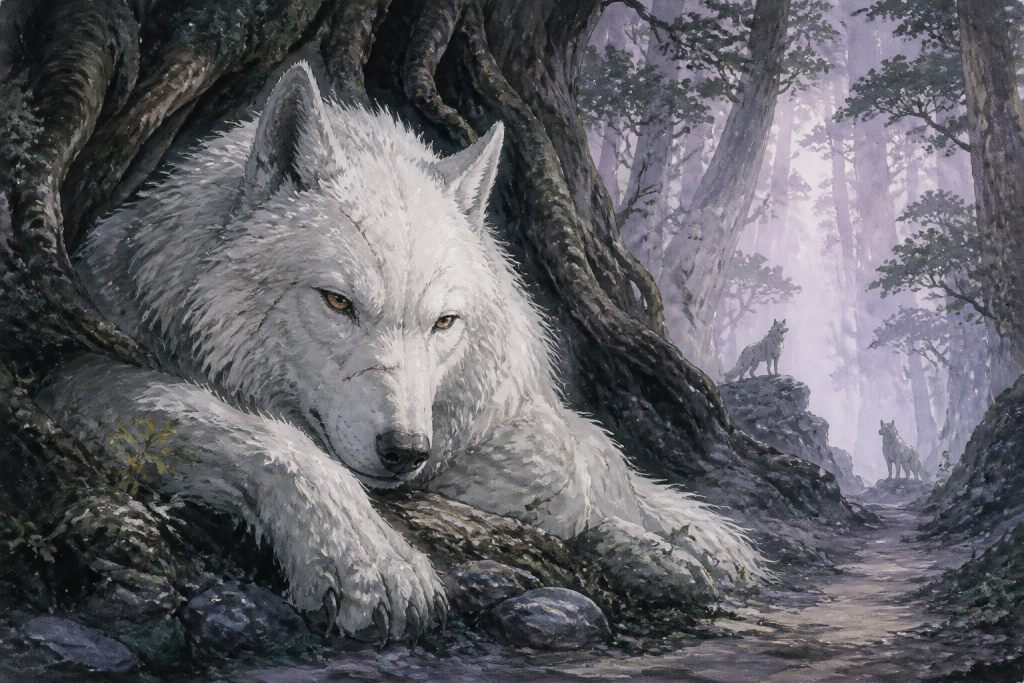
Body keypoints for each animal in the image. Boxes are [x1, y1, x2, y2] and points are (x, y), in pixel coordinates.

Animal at [36, 63, 766, 645]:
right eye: (337, 302)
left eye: (443, 322)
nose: (406, 450)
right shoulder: (75, 370)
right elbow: (260, 437)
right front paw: (367, 561)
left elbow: (586, 456)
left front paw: (681, 539)